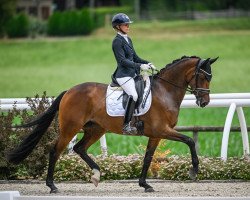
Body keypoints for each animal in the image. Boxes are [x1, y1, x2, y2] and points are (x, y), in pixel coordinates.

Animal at [6, 55, 218, 193]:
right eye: (203, 76)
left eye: (210, 77)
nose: (204, 102)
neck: (165, 91)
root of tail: (69, 91)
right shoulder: (162, 130)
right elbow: (190, 141)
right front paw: (193, 171)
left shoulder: (156, 134)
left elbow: (148, 158)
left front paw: (145, 184)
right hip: (70, 128)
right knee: (55, 150)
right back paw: (52, 186)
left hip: (96, 129)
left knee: (79, 148)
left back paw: (96, 174)